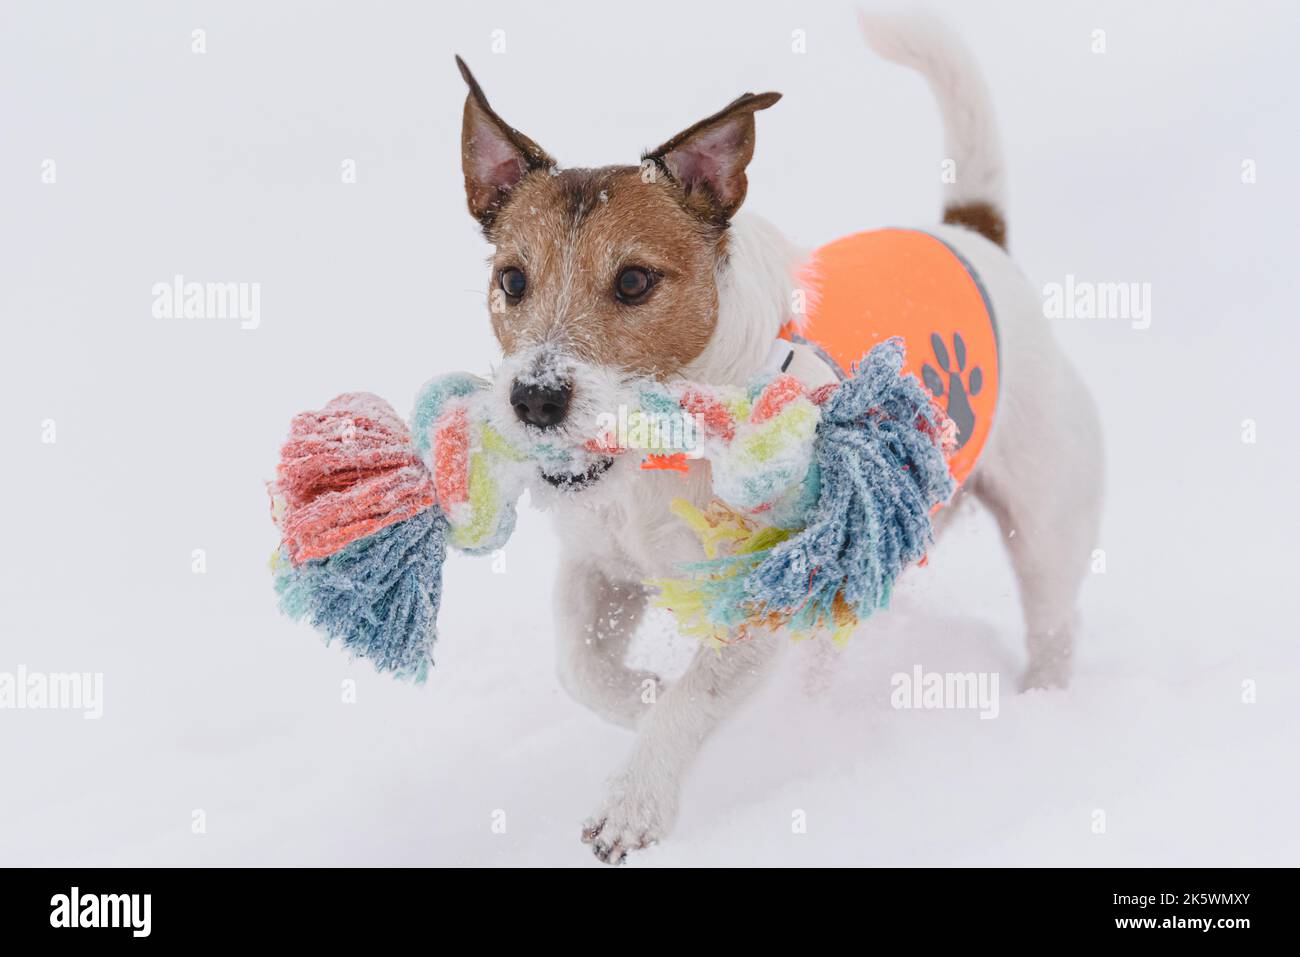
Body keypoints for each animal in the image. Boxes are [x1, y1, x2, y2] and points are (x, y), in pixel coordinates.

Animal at [452, 9, 1102, 858]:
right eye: (512, 280)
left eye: (634, 281)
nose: (534, 398)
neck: (658, 450)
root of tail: (973, 235)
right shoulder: (598, 567)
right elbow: (580, 664)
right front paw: (642, 696)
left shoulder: (764, 597)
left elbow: (696, 696)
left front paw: (636, 796)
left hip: (1048, 514)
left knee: (1055, 618)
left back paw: (1044, 705)